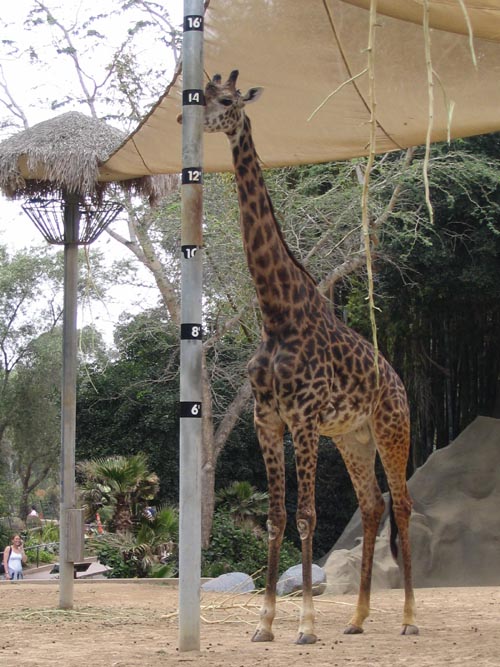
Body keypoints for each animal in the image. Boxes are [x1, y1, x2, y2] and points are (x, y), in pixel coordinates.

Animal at [178, 70, 418, 643]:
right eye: (200, 95)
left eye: (225, 99)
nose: (183, 118)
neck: (277, 313)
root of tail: (399, 381)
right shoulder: (268, 418)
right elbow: (276, 518)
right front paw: (265, 624)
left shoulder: (304, 417)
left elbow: (307, 515)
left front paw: (306, 625)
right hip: (354, 438)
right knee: (372, 505)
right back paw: (356, 619)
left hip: (392, 429)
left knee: (401, 504)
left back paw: (408, 619)